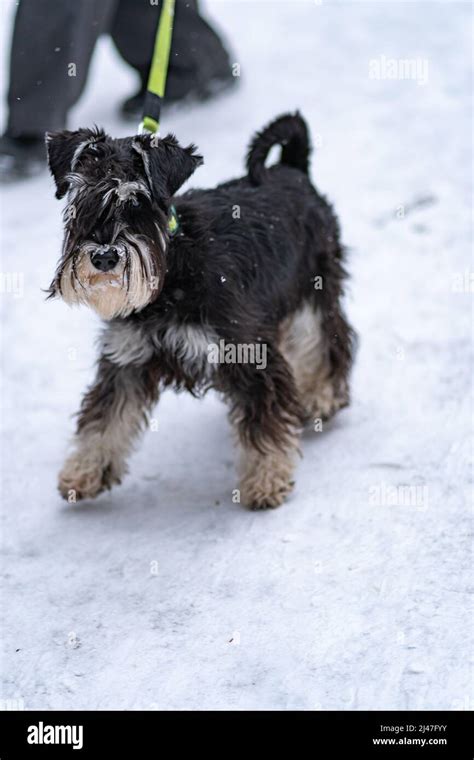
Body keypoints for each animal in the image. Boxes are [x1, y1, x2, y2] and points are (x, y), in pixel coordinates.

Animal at [46, 113, 354, 510]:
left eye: (138, 204)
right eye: (79, 201)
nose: (103, 257)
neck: (172, 268)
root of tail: (292, 169)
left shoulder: (246, 351)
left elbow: (264, 420)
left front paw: (266, 480)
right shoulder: (128, 358)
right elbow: (104, 418)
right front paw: (85, 471)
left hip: (313, 293)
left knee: (324, 341)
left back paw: (322, 396)